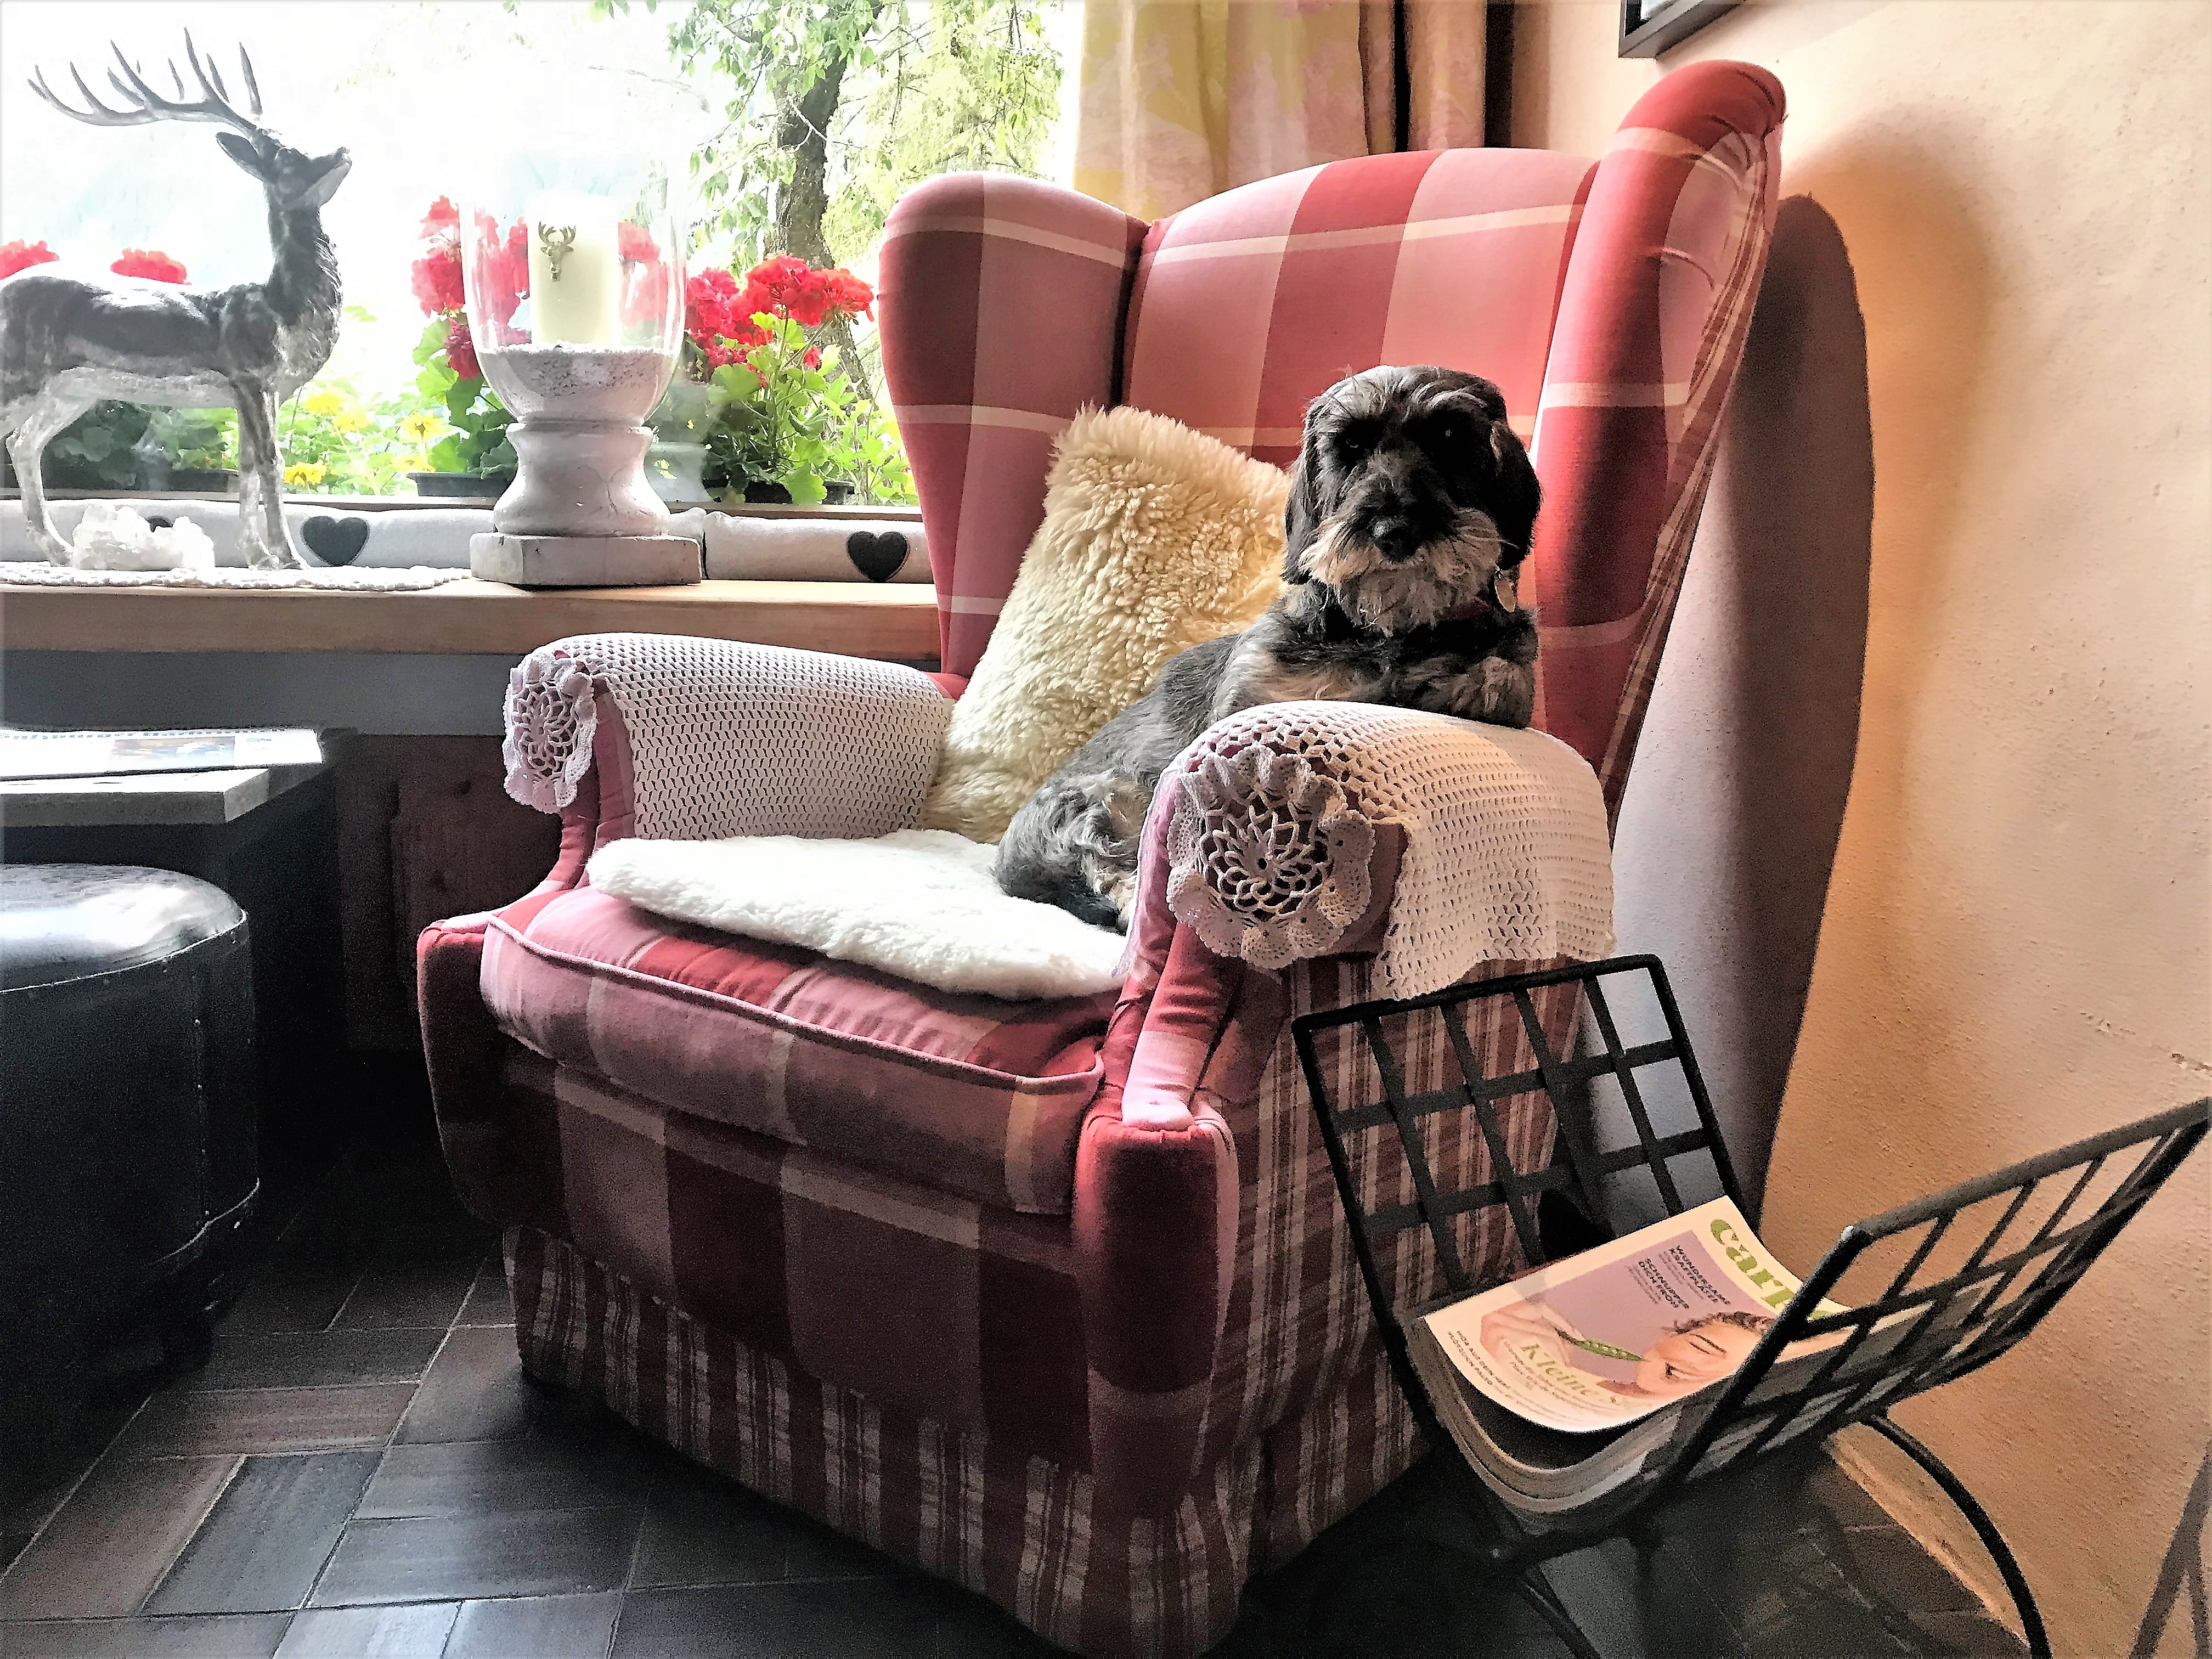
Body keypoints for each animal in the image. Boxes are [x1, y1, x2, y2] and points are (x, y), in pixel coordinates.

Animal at [996, 364, 1542, 930]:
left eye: (1452, 438)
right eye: (1349, 446)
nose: (1396, 531)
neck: (1388, 630)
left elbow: (1500, 675)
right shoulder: (1254, 694)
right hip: (1102, 799)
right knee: (1108, 867)